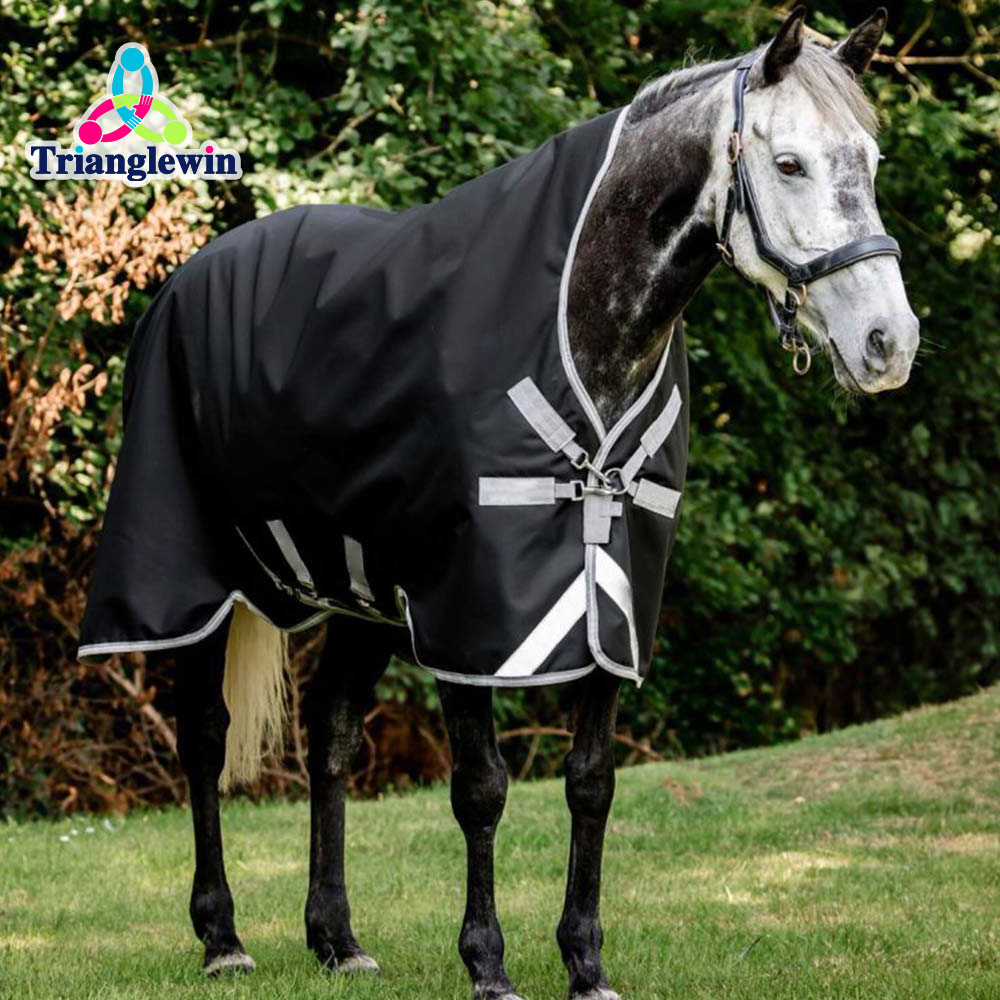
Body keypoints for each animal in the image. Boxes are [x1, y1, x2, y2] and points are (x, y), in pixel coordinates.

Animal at [83, 7, 918, 998]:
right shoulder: (472, 615)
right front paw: (488, 963)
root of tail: (189, 278)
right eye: (788, 163)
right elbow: (480, 788)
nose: (890, 342)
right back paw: (222, 938)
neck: (586, 327)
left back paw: (336, 938)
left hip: (363, 591)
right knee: (204, 737)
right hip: (196, 583)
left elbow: (591, 781)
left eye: (870, 161)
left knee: (330, 733)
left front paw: (586, 963)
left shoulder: (612, 598)